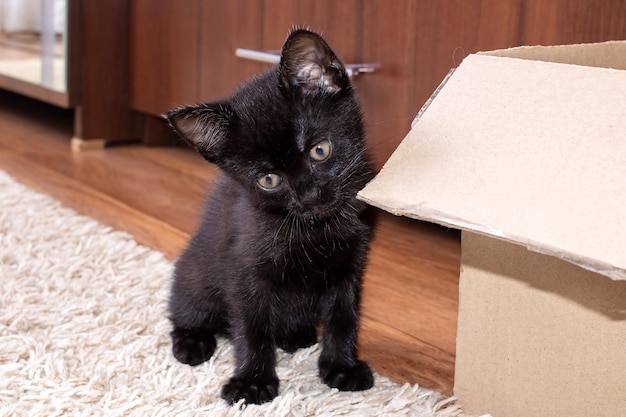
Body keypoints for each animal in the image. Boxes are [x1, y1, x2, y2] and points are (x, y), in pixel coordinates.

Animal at [163, 28, 376, 404]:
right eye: (269, 179)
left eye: (319, 150)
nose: (310, 196)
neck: (314, 229)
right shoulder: (245, 270)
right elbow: (252, 328)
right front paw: (253, 382)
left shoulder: (351, 261)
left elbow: (344, 316)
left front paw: (342, 367)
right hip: (195, 273)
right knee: (186, 308)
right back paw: (192, 341)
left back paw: (295, 336)